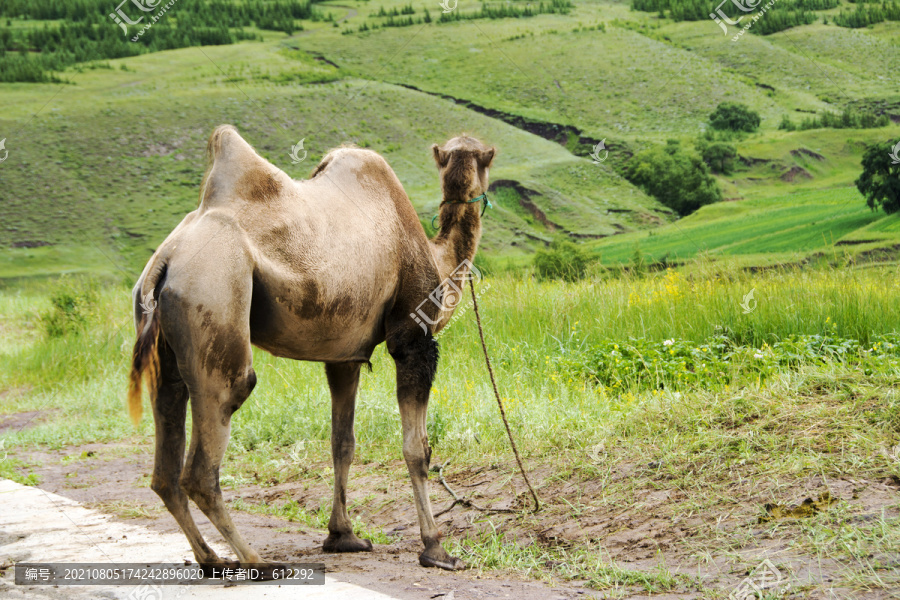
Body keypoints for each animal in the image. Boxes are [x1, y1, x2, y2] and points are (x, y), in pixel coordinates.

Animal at [128, 125, 492, 572]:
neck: (435, 255)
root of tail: (165, 260)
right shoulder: (413, 338)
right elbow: (417, 449)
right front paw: (436, 548)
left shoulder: (344, 357)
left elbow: (342, 443)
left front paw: (343, 536)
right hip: (214, 293)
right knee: (205, 455)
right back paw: (256, 561)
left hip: (165, 344)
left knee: (164, 466)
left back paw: (212, 557)